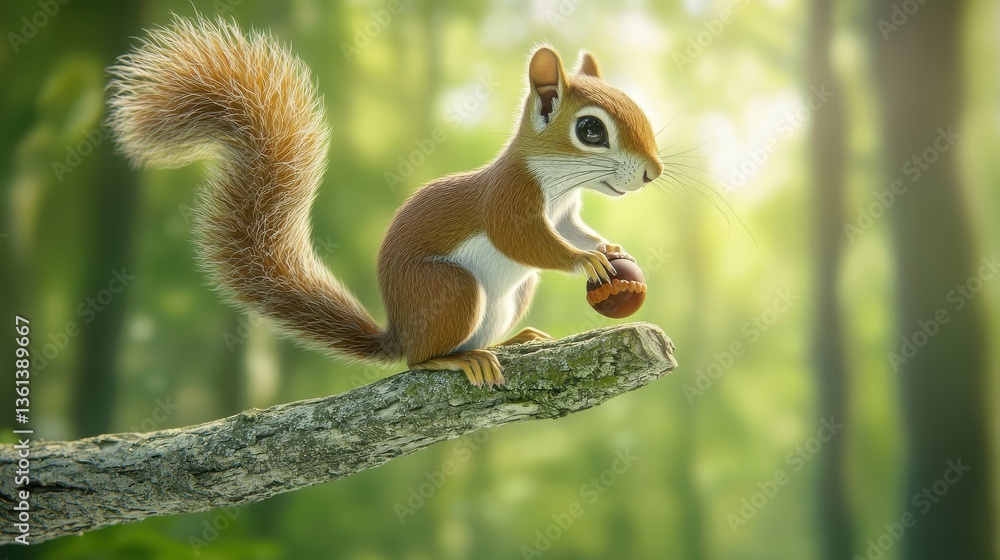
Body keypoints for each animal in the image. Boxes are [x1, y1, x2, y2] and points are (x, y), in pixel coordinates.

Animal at [107, 16, 663, 388]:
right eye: (590, 130)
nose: (652, 173)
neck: (558, 183)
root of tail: (399, 334)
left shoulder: (564, 212)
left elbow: (572, 231)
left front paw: (607, 247)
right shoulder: (509, 199)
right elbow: (525, 241)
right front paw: (586, 261)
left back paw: (512, 342)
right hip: (450, 290)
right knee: (421, 359)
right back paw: (455, 359)